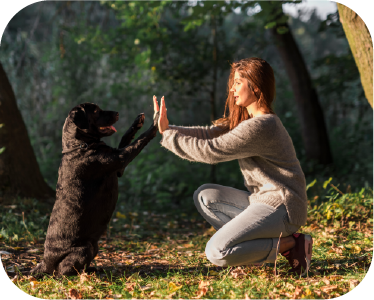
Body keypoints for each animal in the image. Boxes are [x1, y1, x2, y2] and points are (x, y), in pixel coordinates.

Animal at [30, 103, 157, 276]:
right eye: (96, 111)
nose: (117, 113)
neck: (80, 146)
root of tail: (45, 262)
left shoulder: (119, 168)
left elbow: (125, 138)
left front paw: (137, 122)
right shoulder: (120, 159)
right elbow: (137, 142)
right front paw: (155, 125)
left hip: (94, 246)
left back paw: (93, 269)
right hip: (85, 248)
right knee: (63, 271)